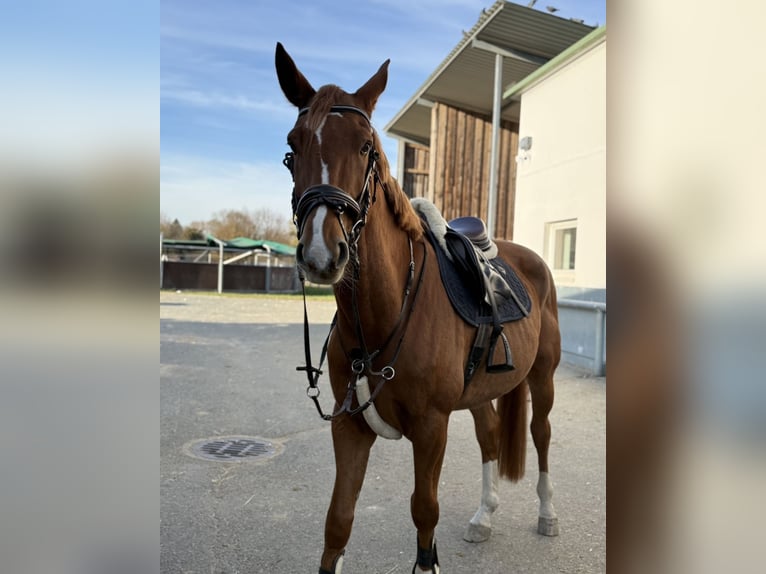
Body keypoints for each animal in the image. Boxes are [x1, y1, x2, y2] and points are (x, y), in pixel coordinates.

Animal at [275, 43, 561, 574]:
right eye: (292, 147)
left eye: (366, 146)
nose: (322, 253)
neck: (383, 314)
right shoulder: (348, 427)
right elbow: (337, 523)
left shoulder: (431, 428)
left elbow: (424, 515)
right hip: (482, 391)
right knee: (491, 434)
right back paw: (484, 516)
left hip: (543, 378)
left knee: (541, 435)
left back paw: (548, 513)